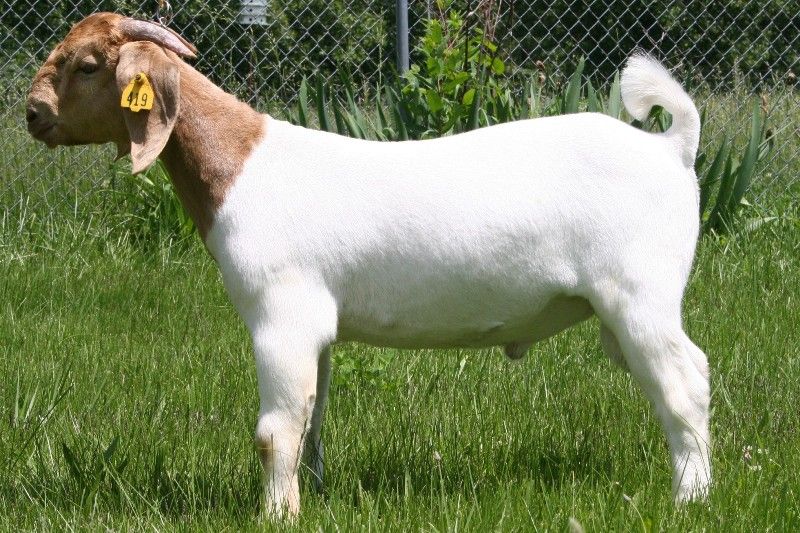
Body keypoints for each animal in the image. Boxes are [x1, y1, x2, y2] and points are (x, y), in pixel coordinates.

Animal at [27, 13, 711, 517]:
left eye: (87, 65)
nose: (33, 115)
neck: (245, 164)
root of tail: (670, 146)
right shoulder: (317, 326)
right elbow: (312, 417)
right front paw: (311, 495)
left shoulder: (281, 313)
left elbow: (275, 429)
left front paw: (277, 515)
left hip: (640, 294)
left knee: (683, 382)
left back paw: (690, 498)